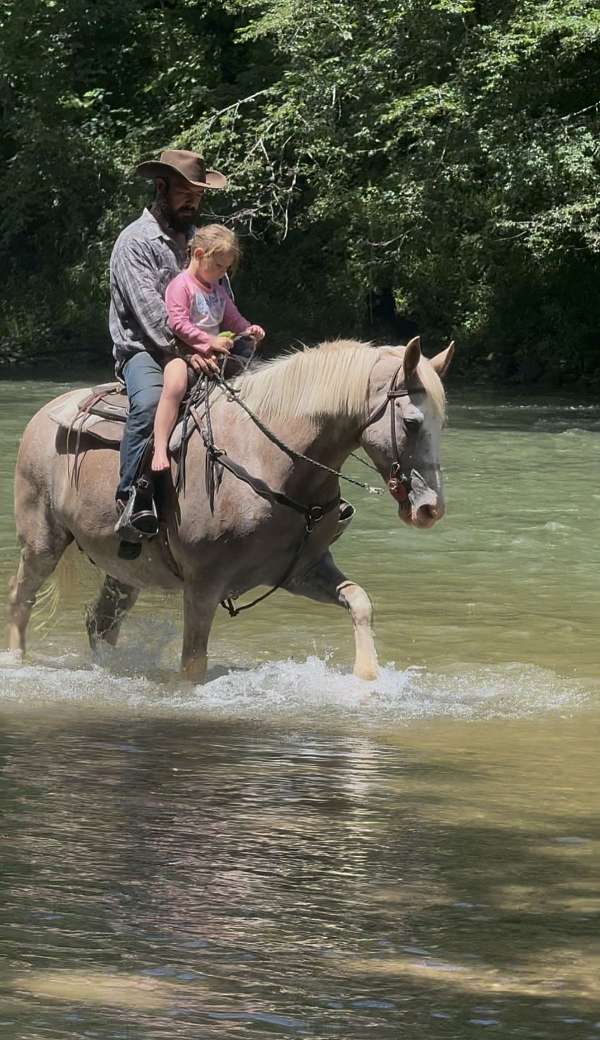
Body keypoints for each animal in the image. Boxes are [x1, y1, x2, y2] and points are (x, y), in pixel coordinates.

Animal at [8, 336, 453, 682]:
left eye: (441, 423)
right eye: (412, 422)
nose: (430, 508)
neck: (271, 461)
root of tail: (46, 413)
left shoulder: (301, 570)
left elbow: (360, 602)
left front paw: (367, 677)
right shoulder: (203, 585)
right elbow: (193, 665)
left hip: (125, 567)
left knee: (101, 622)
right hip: (42, 542)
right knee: (20, 597)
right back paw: (16, 660)